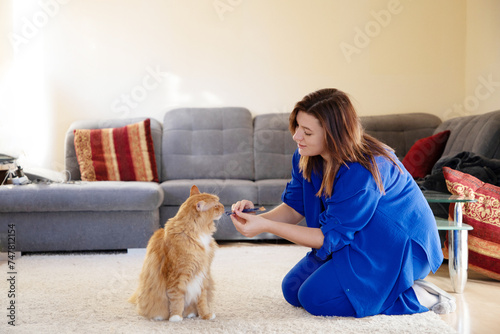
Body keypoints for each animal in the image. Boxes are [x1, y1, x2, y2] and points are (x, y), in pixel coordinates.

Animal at [129, 185, 223, 320]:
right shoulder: (177, 275)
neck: (198, 234)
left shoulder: (203, 275)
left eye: (218, 202)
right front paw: (176, 317)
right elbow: (177, 299)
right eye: (215, 205)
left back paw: (190, 314)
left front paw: (206, 315)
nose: (223, 207)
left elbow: (202, 301)